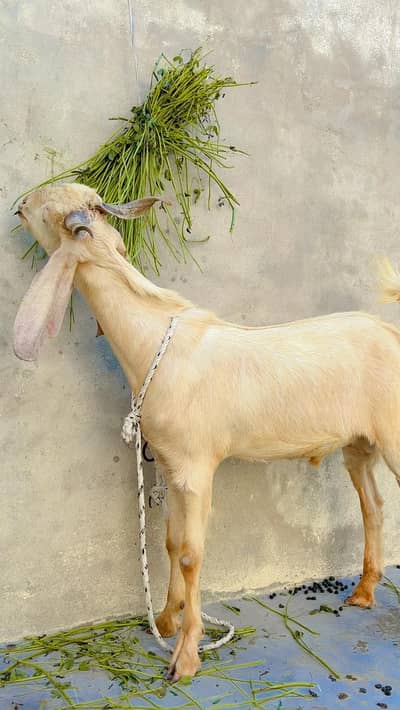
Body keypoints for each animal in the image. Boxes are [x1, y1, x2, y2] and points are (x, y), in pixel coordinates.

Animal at [13, 182, 400, 680]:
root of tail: (390, 332)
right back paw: (364, 592)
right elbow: (171, 542)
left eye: (49, 209)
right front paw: (164, 621)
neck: (153, 344)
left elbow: (192, 554)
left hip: (393, 433)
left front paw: (185, 656)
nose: (18, 204)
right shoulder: (171, 463)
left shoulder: (197, 467)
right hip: (360, 444)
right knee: (372, 506)